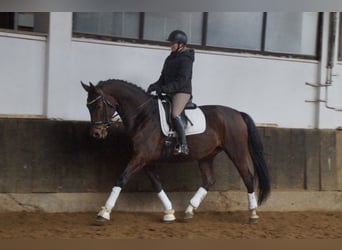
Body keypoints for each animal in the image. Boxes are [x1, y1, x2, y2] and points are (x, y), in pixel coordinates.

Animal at [81, 78, 272, 223]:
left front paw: (104, 212)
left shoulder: (140, 157)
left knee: (248, 177)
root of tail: (238, 113)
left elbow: (121, 179)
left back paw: (253, 214)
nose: (96, 134)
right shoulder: (145, 159)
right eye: (88, 107)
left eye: (98, 106)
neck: (144, 115)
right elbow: (156, 184)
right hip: (206, 156)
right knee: (209, 180)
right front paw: (169, 213)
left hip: (236, 151)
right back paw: (189, 211)